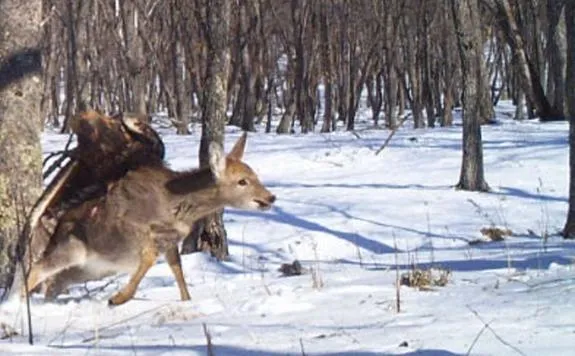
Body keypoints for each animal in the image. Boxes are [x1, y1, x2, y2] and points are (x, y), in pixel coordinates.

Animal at [21, 134, 276, 306]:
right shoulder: (133, 228)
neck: (175, 206)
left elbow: (177, 269)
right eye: (242, 181)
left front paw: (187, 300)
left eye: (255, 175)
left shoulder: (171, 240)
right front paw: (119, 298)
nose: (270, 197)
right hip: (71, 248)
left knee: (54, 283)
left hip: (90, 269)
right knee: (38, 269)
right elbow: (150, 257)